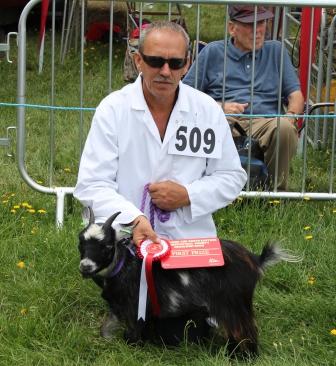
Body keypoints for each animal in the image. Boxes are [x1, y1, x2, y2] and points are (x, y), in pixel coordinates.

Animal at [78, 210, 300, 356]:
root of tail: (255, 260)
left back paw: (243, 356)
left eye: (106, 246)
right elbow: (107, 328)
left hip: (233, 303)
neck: (125, 264)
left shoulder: (135, 307)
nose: (85, 267)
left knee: (245, 330)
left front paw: (132, 348)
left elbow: (131, 332)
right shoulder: (118, 306)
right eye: (81, 243)